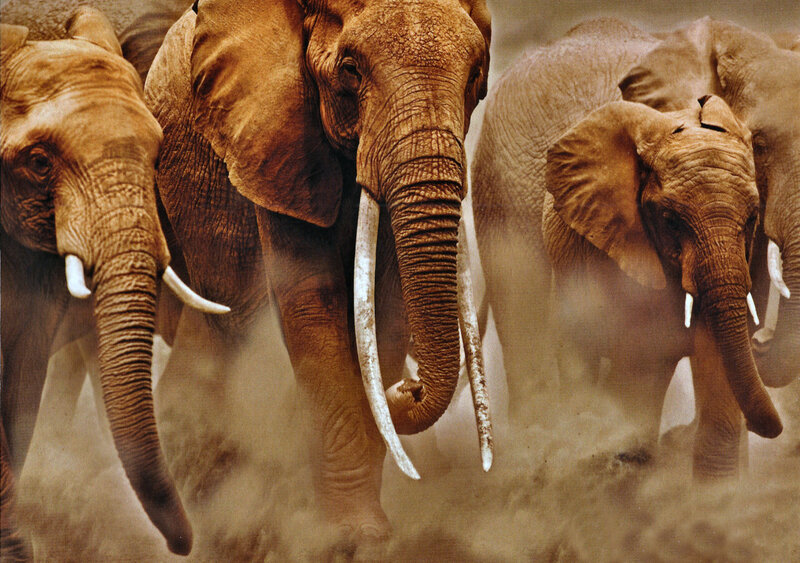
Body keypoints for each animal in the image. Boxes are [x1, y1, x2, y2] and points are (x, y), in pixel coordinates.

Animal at [136, 0, 494, 546]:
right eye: (351, 69)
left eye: (476, 74)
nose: (407, 389)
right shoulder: (272, 139)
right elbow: (311, 300)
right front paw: (354, 535)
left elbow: (385, 312)